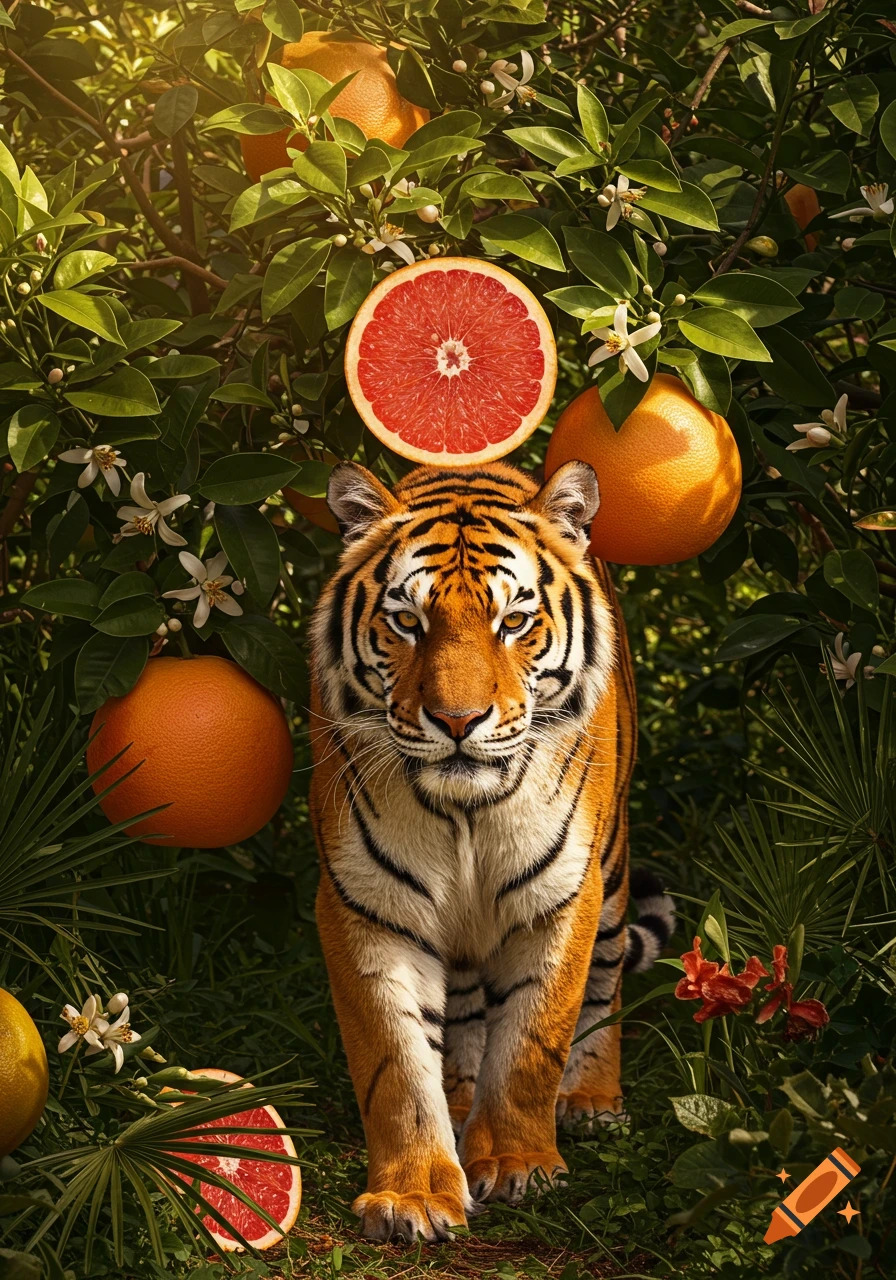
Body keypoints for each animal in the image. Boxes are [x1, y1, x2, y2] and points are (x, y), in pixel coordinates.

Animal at [309, 458, 674, 1243]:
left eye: (513, 622)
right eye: (407, 621)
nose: (457, 721)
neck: (465, 813)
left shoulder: (560, 898)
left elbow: (534, 1041)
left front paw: (515, 1163)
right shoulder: (366, 906)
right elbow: (395, 1063)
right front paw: (414, 1194)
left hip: (613, 868)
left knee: (605, 983)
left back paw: (591, 1100)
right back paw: (459, 1099)